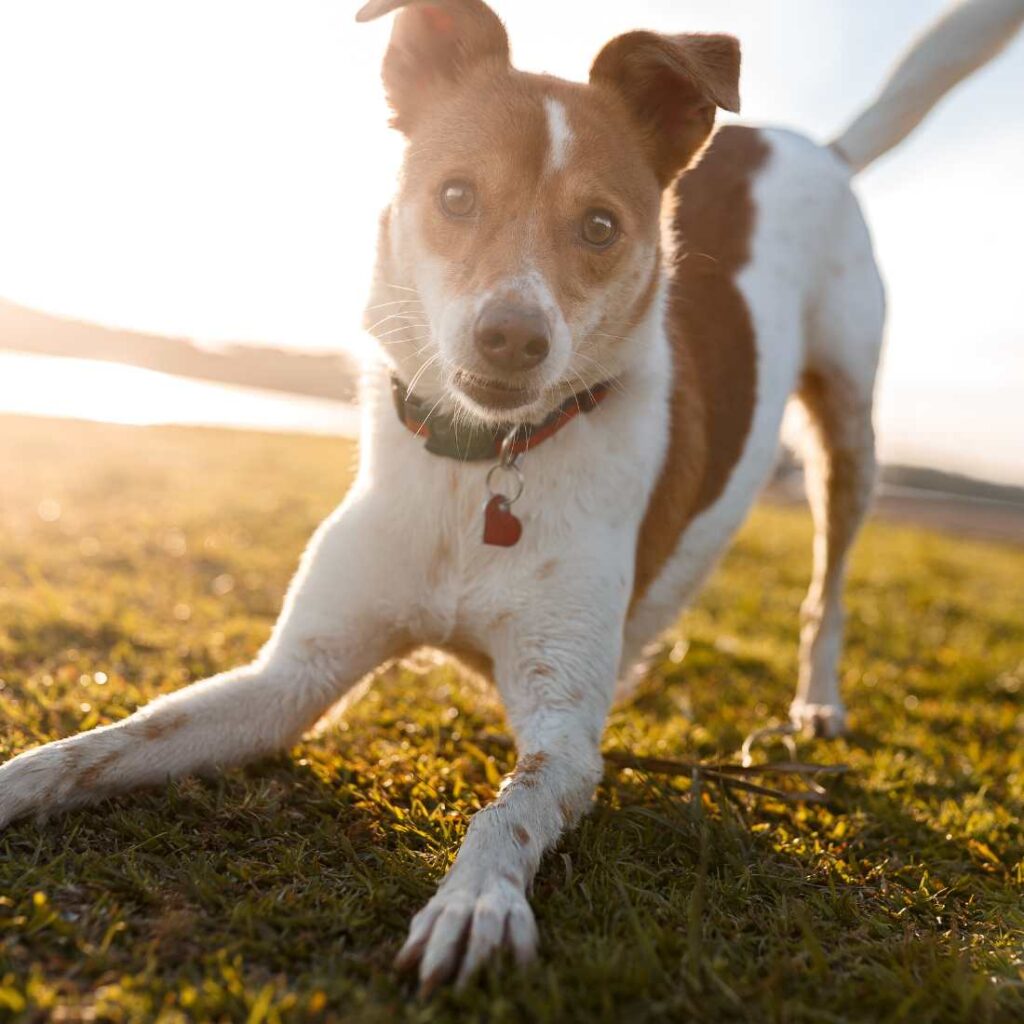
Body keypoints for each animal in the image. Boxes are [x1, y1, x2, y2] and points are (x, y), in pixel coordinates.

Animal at [2, 0, 1024, 995]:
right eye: (456, 196)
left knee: (831, 583)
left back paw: (816, 701)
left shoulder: (563, 734)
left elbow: (510, 811)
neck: (480, 463)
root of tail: (815, 146)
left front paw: (476, 903)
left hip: (849, 426)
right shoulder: (289, 680)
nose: (513, 337)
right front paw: (23, 778)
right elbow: (120, 736)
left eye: (602, 227)